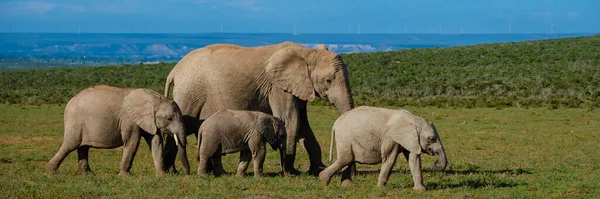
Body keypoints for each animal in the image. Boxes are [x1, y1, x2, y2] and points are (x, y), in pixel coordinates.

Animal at [44, 84, 190, 175]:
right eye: (169, 118)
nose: (188, 173)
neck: (154, 99)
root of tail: (70, 101)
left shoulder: (148, 120)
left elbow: (156, 140)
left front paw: (161, 175)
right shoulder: (129, 120)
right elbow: (132, 142)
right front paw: (126, 176)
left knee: (83, 147)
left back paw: (87, 174)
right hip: (75, 120)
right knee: (71, 144)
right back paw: (51, 171)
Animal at [162, 41, 354, 175]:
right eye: (328, 81)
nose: (352, 172)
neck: (308, 52)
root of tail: (174, 70)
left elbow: (304, 127)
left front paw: (317, 170)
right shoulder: (278, 87)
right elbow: (290, 121)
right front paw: (291, 173)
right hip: (189, 94)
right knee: (180, 129)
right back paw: (170, 172)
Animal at [318, 105, 446, 191]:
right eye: (432, 139)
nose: (435, 161)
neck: (414, 120)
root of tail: (335, 123)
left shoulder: (409, 139)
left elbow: (413, 159)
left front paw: (420, 190)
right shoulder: (391, 137)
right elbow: (389, 159)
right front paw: (381, 188)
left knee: (348, 160)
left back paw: (348, 185)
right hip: (344, 137)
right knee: (346, 159)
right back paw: (324, 181)